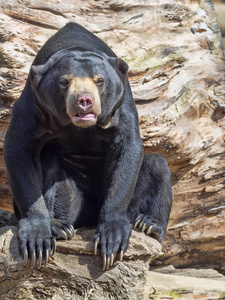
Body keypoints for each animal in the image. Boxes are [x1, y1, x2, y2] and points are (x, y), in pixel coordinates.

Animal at [3, 22, 172, 270]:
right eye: (65, 82)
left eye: (99, 81)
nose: (84, 101)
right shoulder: (34, 104)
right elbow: (19, 150)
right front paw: (37, 240)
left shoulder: (121, 105)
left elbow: (127, 148)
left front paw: (112, 239)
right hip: (69, 198)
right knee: (47, 158)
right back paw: (59, 226)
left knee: (157, 165)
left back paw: (149, 224)